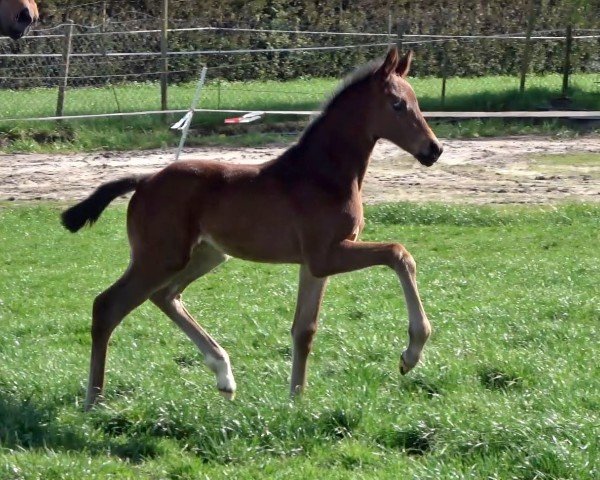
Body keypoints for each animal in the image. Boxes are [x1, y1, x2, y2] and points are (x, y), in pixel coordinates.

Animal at [64, 47, 440, 408]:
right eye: (397, 104)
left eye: (415, 101)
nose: (433, 150)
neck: (322, 175)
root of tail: (143, 180)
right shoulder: (327, 255)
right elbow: (399, 254)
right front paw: (411, 353)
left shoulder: (314, 265)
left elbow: (304, 330)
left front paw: (296, 401)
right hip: (160, 257)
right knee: (107, 306)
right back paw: (93, 400)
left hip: (207, 255)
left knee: (165, 296)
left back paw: (223, 375)